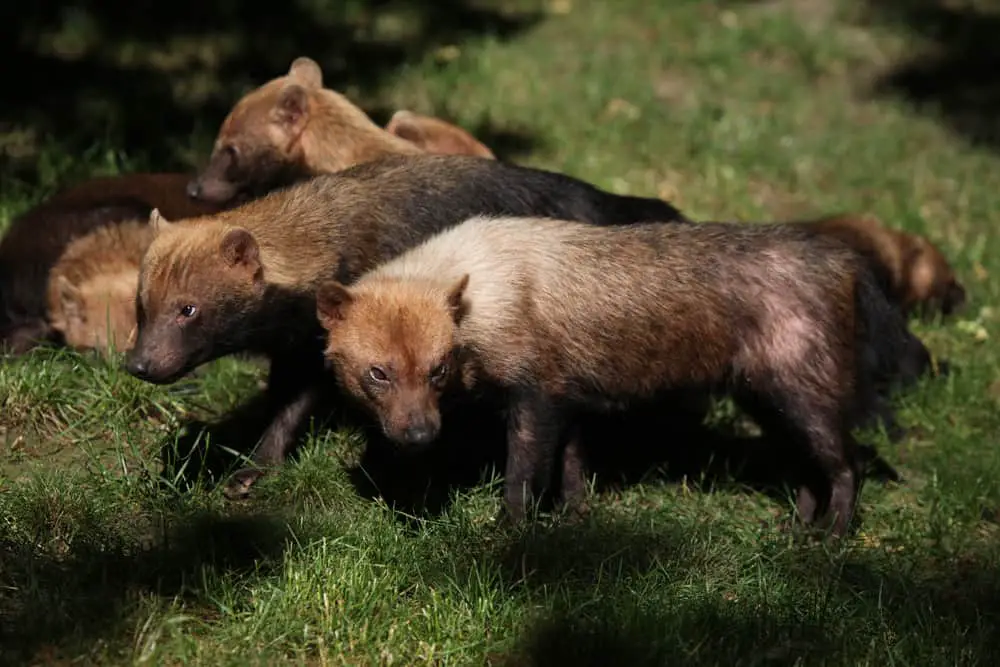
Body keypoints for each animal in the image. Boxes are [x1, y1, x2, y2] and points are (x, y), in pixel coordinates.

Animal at [125, 153, 692, 496]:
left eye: (188, 309)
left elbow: (296, 405)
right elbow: (282, 402)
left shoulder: (327, 335)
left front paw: (254, 469)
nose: (139, 364)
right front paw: (250, 469)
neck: (323, 236)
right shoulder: (301, 343)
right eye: (141, 304)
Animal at [314, 217, 928, 540]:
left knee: (848, 463)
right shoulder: (566, 401)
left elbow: (523, 476)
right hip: (769, 400)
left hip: (803, 394)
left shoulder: (537, 398)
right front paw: (574, 520)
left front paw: (510, 533)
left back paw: (833, 536)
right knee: (807, 466)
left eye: (438, 369)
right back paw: (797, 530)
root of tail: (845, 261)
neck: (488, 289)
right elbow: (572, 471)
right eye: (378, 372)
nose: (418, 436)